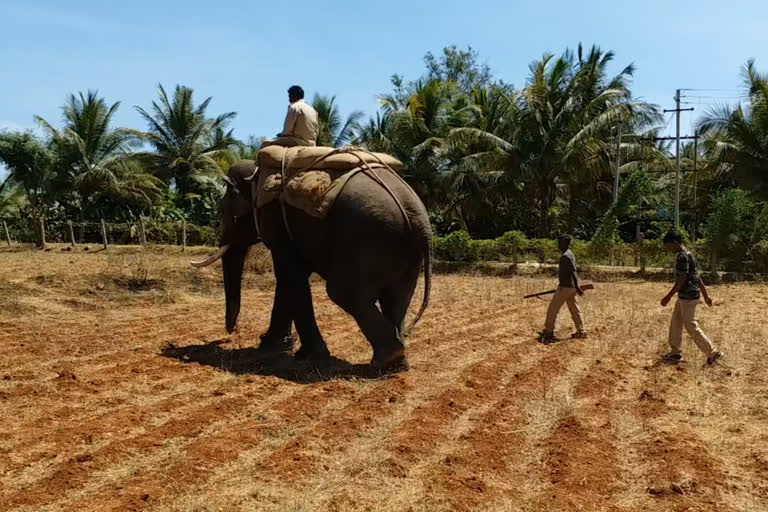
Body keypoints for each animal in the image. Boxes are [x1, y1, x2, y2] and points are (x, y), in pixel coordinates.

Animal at [192, 158, 432, 370]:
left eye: (227, 214)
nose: (232, 332)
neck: (256, 171)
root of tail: (420, 221)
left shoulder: (275, 219)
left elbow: (290, 274)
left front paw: (305, 354)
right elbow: (291, 276)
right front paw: (274, 346)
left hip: (368, 241)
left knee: (344, 293)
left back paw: (387, 358)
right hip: (404, 253)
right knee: (397, 299)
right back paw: (397, 361)